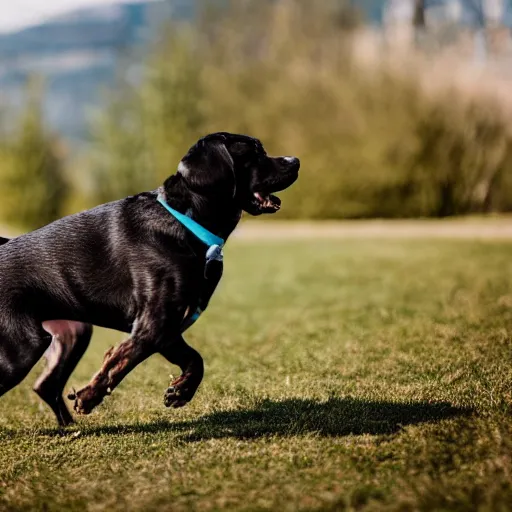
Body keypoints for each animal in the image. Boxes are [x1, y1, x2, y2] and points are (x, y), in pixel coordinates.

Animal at [0, 132, 300, 424]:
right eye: (253, 152)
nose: (295, 160)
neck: (185, 224)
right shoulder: (153, 324)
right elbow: (122, 361)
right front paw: (90, 396)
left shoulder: (169, 327)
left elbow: (195, 359)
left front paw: (180, 391)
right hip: (22, 348)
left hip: (71, 334)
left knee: (46, 386)